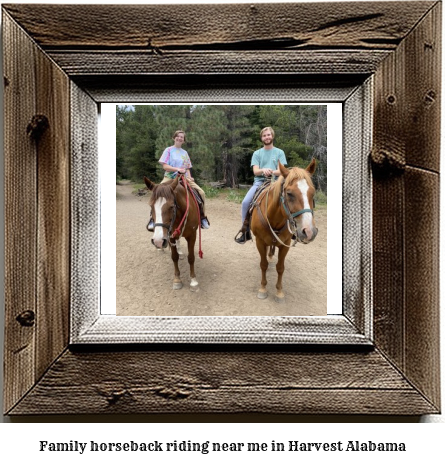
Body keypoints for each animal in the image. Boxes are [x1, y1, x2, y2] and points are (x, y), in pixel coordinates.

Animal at [250, 160, 320, 302]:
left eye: (313, 193)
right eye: (289, 193)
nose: (309, 232)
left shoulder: (285, 244)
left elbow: (280, 268)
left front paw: (279, 292)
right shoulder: (260, 242)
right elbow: (263, 264)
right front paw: (263, 289)